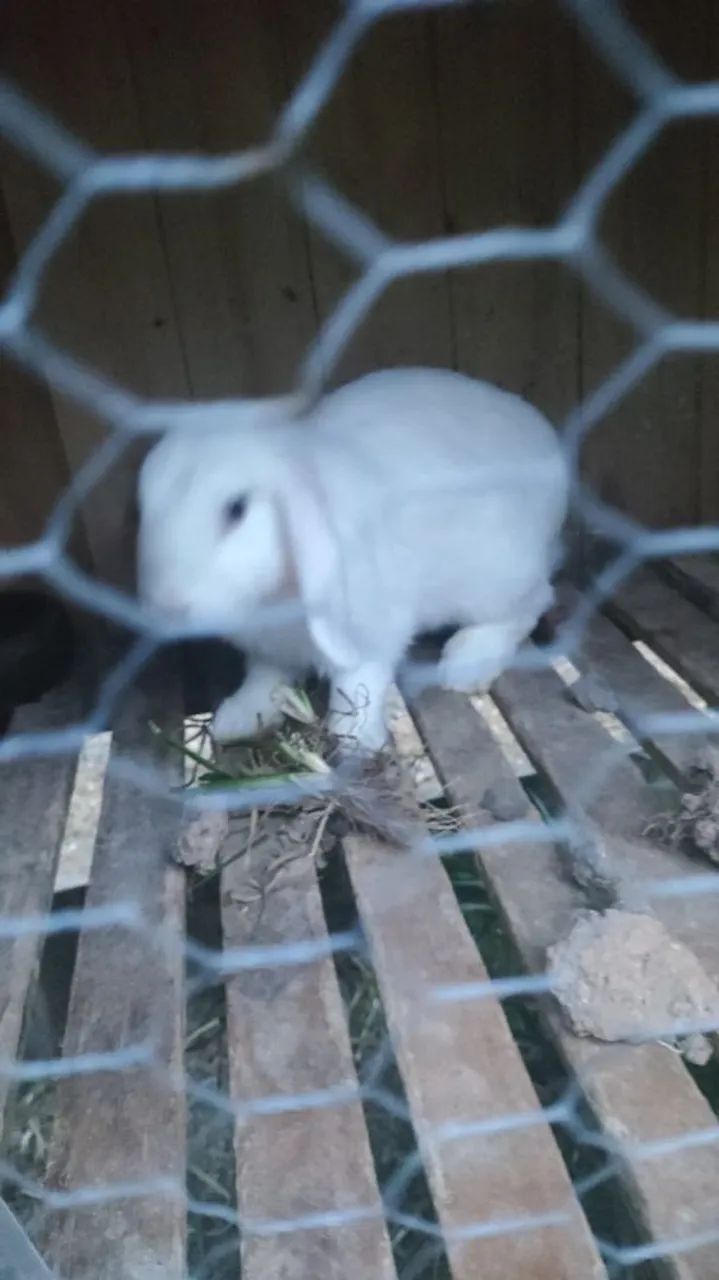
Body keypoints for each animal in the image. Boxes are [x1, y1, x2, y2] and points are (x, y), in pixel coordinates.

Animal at [137, 367, 568, 753]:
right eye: (144, 506)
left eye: (237, 509)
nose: (167, 607)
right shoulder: (267, 653)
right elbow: (264, 678)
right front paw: (239, 720)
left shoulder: (372, 631)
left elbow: (358, 683)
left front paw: (356, 740)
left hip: (494, 577)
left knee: (532, 604)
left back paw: (465, 664)